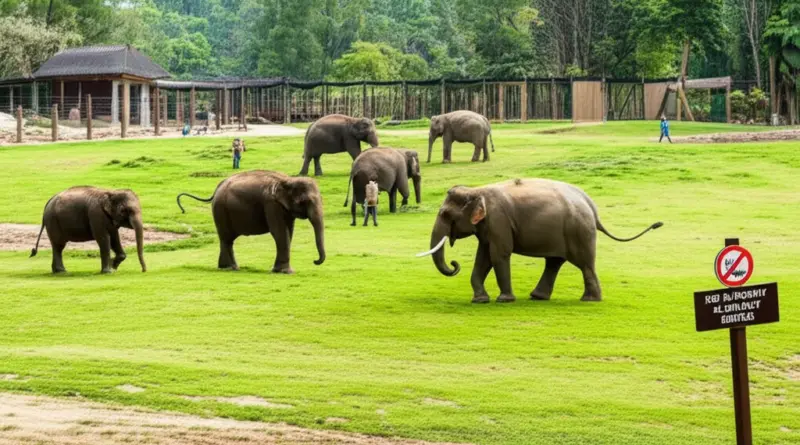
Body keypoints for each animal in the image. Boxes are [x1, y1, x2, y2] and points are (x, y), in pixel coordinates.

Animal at [176, 170, 325, 273]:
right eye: (304, 201)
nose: (315, 261)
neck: (288, 180)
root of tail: (218, 187)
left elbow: (289, 232)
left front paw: (280, 271)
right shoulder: (271, 205)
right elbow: (280, 233)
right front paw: (285, 272)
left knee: (227, 240)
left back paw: (228, 268)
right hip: (220, 210)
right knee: (226, 238)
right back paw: (230, 268)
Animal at [417, 179, 662, 303]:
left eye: (445, 215)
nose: (454, 264)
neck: (477, 189)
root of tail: (591, 206)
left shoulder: (498, 220)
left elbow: (499, 254)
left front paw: (504, 300)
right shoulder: (489, 226)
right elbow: (484, 257)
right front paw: (480, 300)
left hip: (578, 231)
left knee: (584, 264)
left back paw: (589, 300)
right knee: (554, 262)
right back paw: (538, 297)